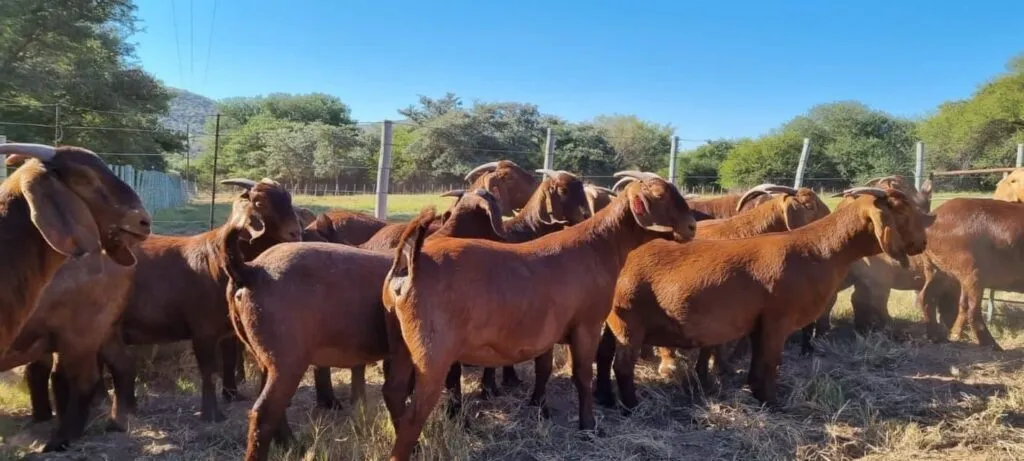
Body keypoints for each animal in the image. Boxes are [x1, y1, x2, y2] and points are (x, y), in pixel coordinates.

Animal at [97, 178, 301, 426]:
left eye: (288, 199)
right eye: (261, 203)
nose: (294, 232)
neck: (218, 259)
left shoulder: (227, 329)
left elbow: (229, 359)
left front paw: (232, 394)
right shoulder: (203, 329)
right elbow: (208, 369)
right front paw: (211, 414)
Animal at [380, 172, 697, 461]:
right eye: (659, 195)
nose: (692, 227)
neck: (598, 245)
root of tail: (411, 265)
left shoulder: (549, 331)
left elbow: (544, 367)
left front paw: (541, 407)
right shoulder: (587, 324)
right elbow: (583, 376)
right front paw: (588, 427)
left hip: (400, 343)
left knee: (393, 392)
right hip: (432, 353)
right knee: (415, 412)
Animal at [595, 187, 930, 410]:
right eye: (901, 211)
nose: (923, 242)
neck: (817, 249)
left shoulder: (759, 323)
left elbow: (758, 361)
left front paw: (754, 392)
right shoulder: (778, 319)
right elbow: (771, 361)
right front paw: (772, 401)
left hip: (613, 322)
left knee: (603, 355)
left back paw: (605, 398)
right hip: (628, 321)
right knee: (622, 365)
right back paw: (631, 406)